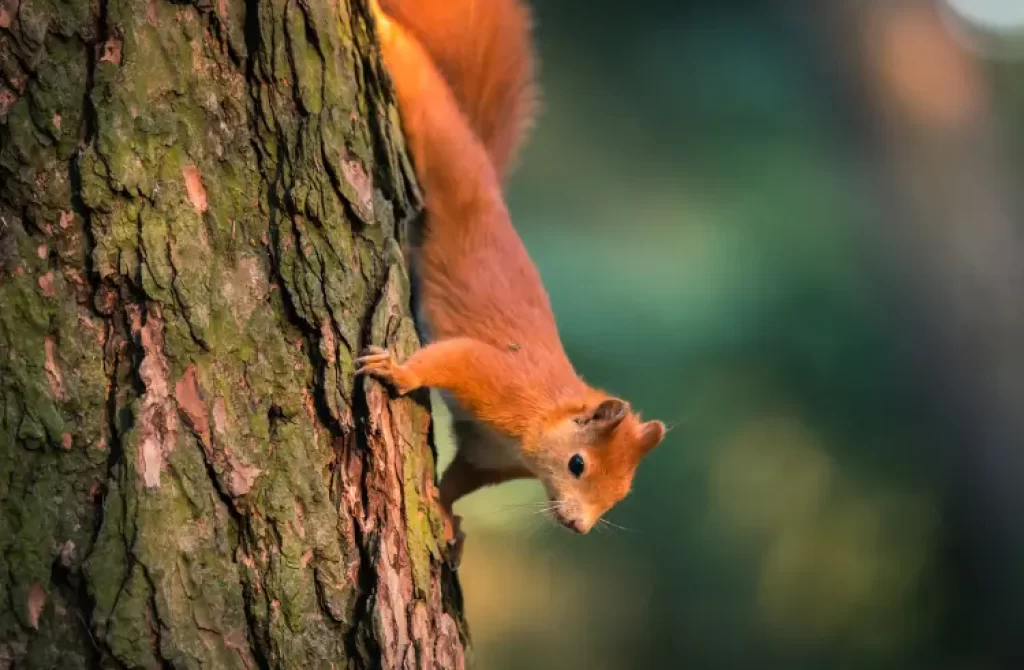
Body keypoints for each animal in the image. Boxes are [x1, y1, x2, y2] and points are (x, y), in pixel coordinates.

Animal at [360, 0, 663, 565]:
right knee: (425, 96)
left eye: (622, 493)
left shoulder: (485, 455)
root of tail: (494, 191)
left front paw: (447, 520)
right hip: (449, 157)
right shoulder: (495, 378)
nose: (578, 526)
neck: (541, 418)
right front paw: (397, 371)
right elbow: (452, 358)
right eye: (577, 464)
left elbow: (456, 482)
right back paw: (382, 27)